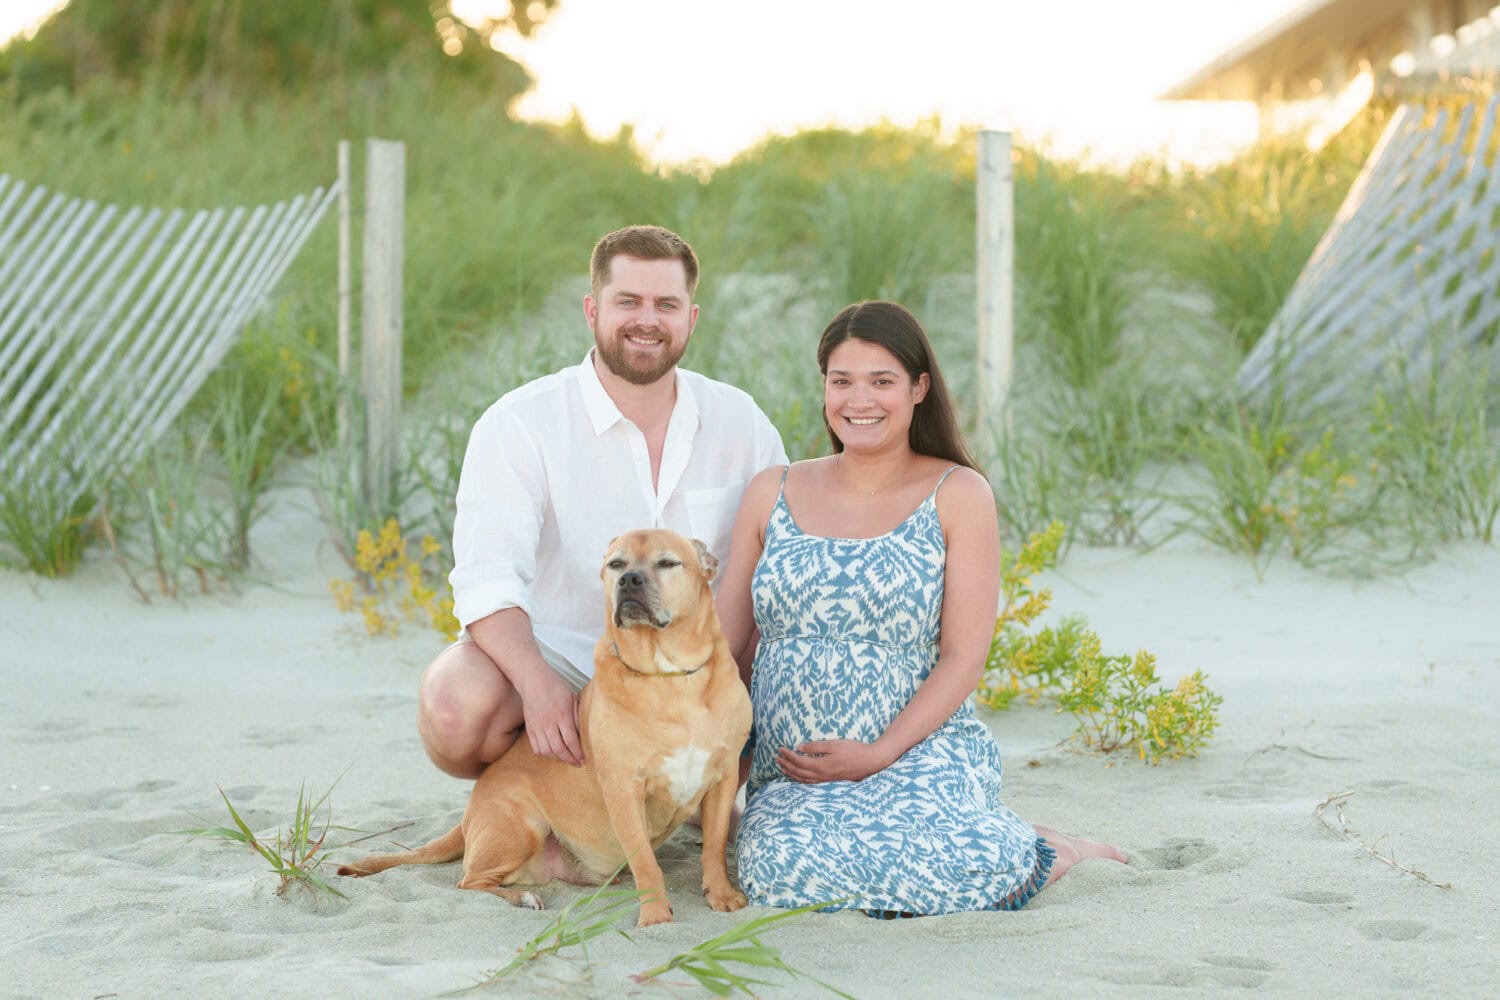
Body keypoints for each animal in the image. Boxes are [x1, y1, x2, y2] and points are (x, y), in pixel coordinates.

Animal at [343, 530, 756, 929]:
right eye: (616, 564)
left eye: (668, 562)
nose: (629, 580)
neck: (668, 676)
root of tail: (467, 815)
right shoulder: (625, 790)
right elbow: (646, 865)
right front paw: (655, 916)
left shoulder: (721, 779)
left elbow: (714, 847)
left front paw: (721, 895)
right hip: (521, 828)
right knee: (470, 881)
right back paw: (522, 898)